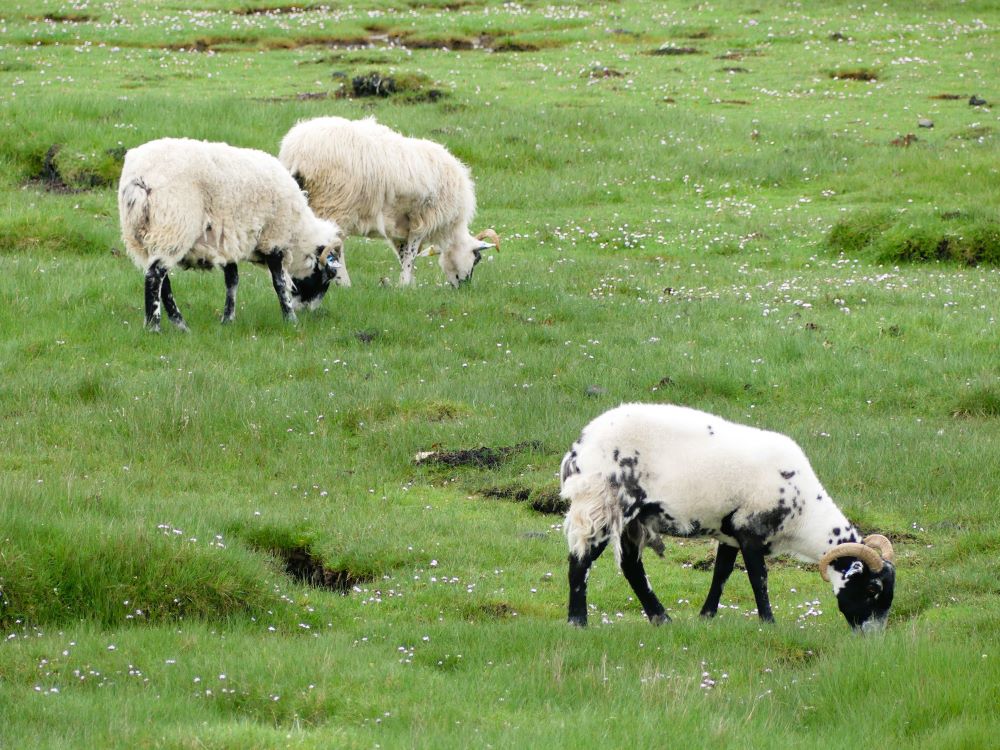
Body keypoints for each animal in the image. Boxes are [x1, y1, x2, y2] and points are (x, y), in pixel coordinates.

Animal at [116, 138, 344, 332]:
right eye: (327, 276)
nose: (308, 311)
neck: (297, 235)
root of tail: (140, 179)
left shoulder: (228, 241)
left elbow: (232, 280)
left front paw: (228, 319)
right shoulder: (273, 238)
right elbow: (279, 283)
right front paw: (290, 319)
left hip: (142, 236)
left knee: (161, 280)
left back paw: (181, 325)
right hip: (174, 226)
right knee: (155, 276)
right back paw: (155, 326)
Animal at [276, 116, 498, 290]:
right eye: (477, 258)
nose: (464, 287)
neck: (451, 229)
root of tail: (296, 151)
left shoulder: (402, 227)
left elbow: (403, 254)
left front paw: (409, 284)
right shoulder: (422, 220)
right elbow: (410, 255)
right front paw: (405, 284)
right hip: (334, 203)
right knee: (335, 249)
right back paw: (344, 283)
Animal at [564, 402, 900, 632]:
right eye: (872, 589)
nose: (870, 638)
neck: (803, 513)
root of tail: (579, 446)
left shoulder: (730, 532)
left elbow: (721, 574)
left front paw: (706, 616)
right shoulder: (750, 532)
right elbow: (758, 579)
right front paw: (769, 622)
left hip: (631, 519)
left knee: (631, 567)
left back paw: (662, 619)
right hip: (602, 504)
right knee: (580, 560)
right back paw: (578, 621)